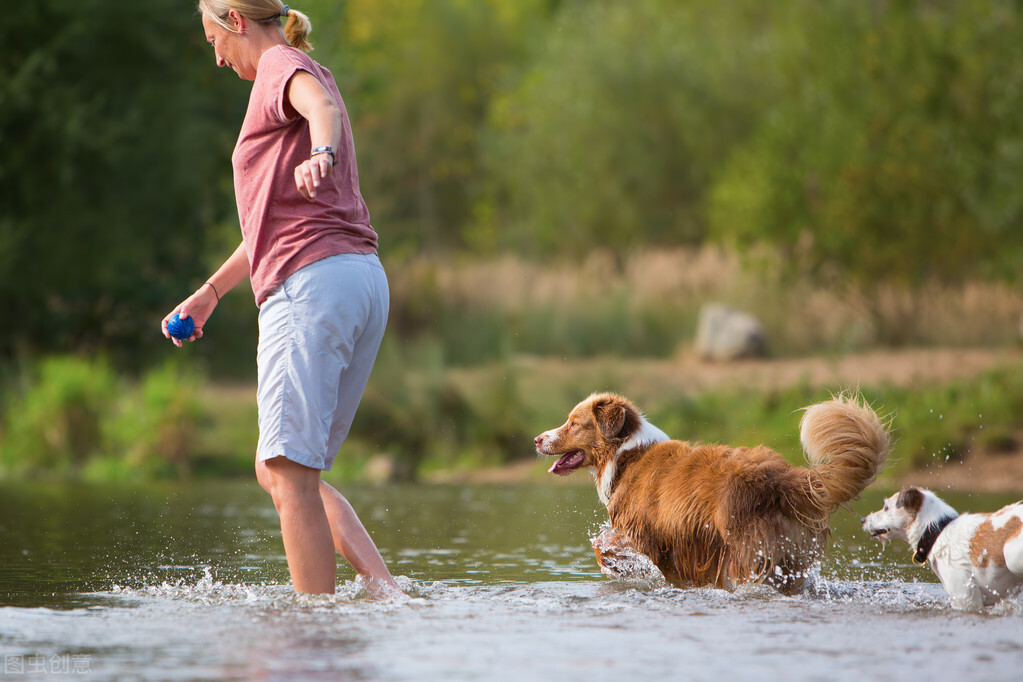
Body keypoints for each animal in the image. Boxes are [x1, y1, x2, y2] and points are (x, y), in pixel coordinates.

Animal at [536, 392, 887, 593]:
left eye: (573, 423)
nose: (538, 439)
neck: (626, 454)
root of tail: (785, 477)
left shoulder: (644, 532)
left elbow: (602, 545)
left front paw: (619, 567)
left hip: (745, 552)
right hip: (792, 556)